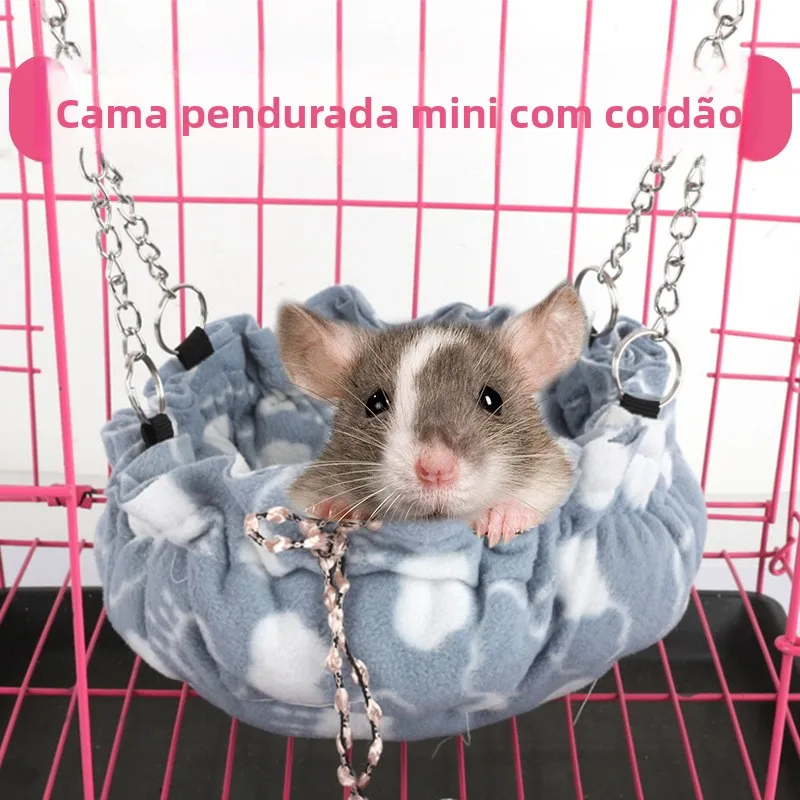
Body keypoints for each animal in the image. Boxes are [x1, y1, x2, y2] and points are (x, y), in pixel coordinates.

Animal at [275, 282, 588, 547]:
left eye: (492, 400)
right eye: (374, 403)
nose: (435, 469)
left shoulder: (549, 473)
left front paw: (502, 514)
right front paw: (339, 507)